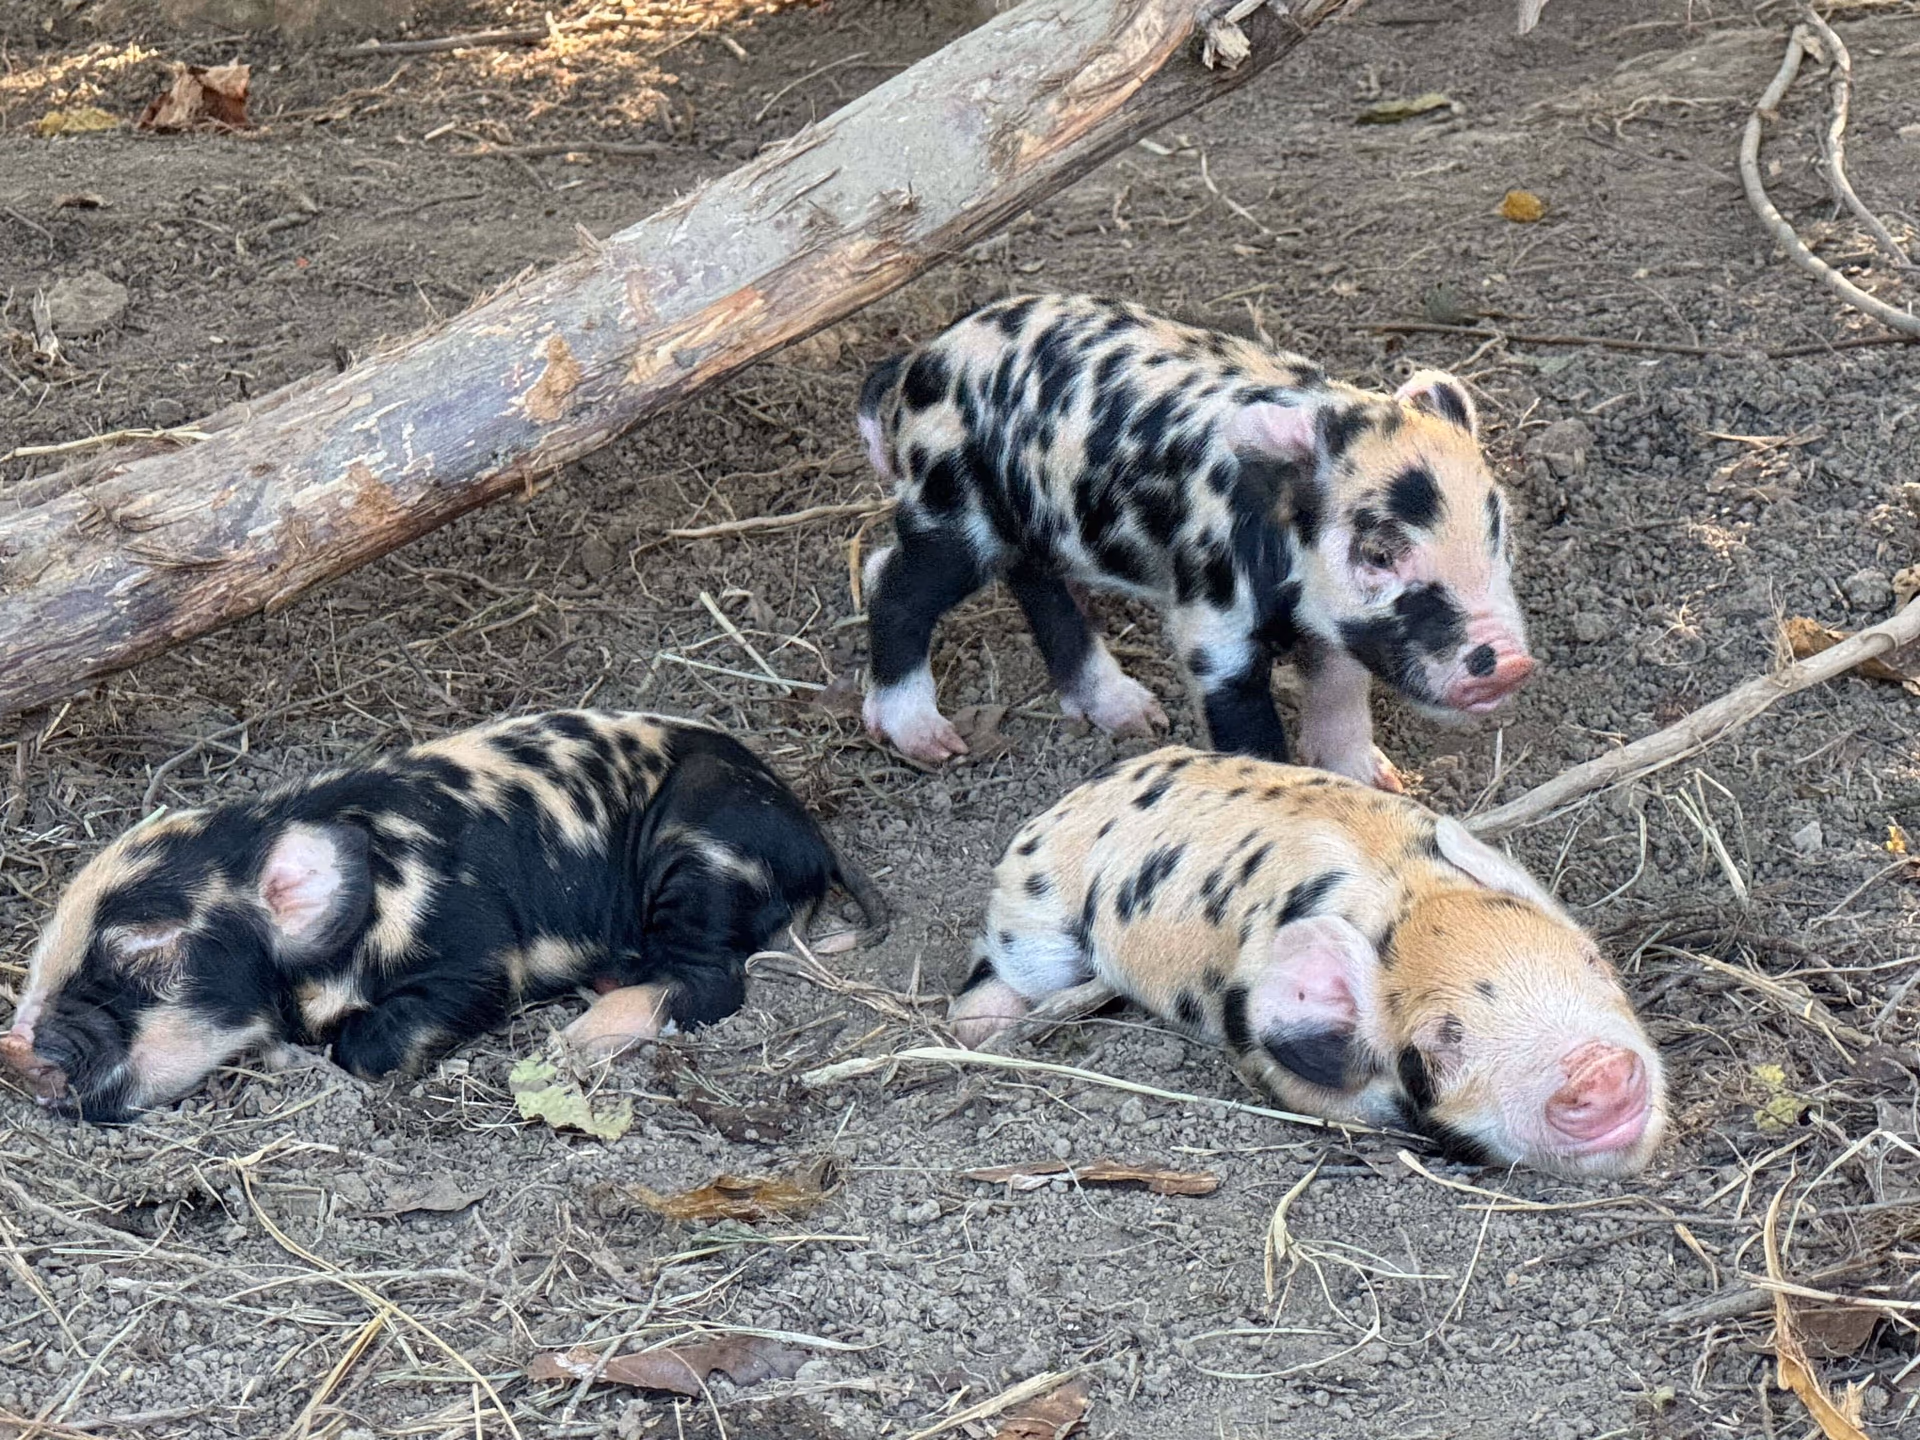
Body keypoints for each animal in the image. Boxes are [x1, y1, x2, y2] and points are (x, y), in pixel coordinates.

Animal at [0, 711, 887, 1123]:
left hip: (703, 852)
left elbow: (379, 1041)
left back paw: (576, 1039)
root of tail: (813, 834)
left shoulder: (473, 955)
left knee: (714, 981)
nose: (15, 1046)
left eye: (143, 953)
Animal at [857, 294, 1534, 788]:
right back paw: (933, 743)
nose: (1510, 661)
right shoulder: (1210, 624)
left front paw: (1381, 786)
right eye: (1379, 554)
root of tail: (926, 355)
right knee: (888, 579)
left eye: (1499, 536)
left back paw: (1137, 718)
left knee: (1040, 589)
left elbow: (1341, 699)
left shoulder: (1337, 632)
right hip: (951, 509)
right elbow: (1248, 731)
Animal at [950, 748, 1666, 1177]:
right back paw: (978, 1028)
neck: (1404, 894)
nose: (1598, 1069)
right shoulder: (1264, 1055)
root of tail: (1074, 793)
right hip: (1036, 924)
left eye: (1594, 961)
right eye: (1439, 1044)